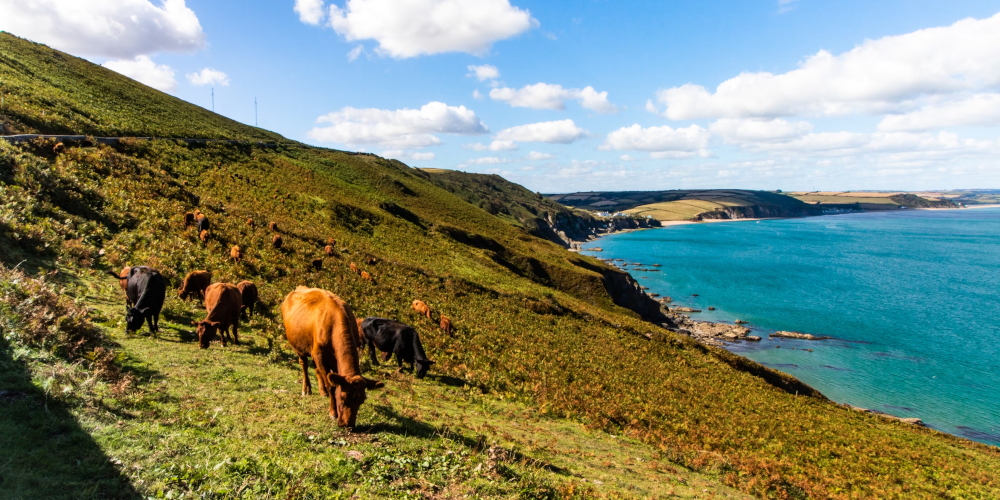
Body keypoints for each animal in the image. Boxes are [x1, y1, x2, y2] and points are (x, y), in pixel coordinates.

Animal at [282, 288, 382, 428]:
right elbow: (331, 386)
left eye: (361, 401)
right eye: (342, 397)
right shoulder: (319, 355)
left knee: (316, 369)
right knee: (304, 365)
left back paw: (322, 391)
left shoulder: (330, 359)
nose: (347, 425)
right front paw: (333, 412)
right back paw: (306, 389)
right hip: (298, 347)